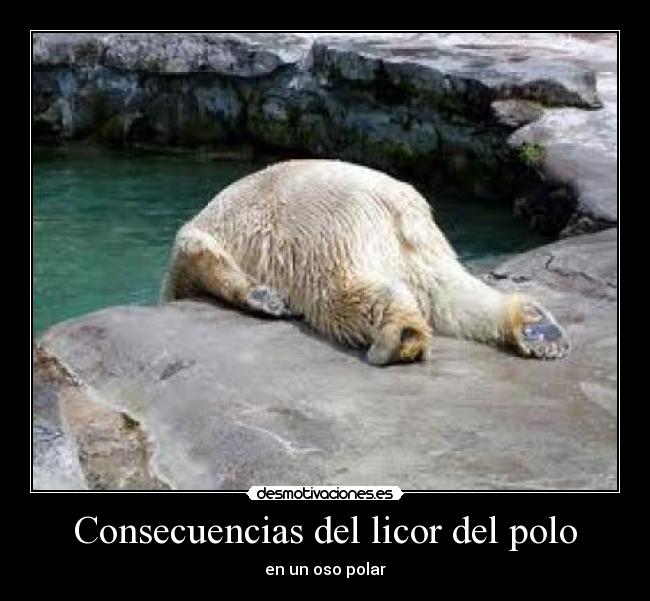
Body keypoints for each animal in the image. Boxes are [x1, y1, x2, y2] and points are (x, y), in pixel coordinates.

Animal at [161, 159, 569, 365]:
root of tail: (396, 205)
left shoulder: (193, 245)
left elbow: (196, 257)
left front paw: (264, 298)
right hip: (424, 246)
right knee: (450, 293)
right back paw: (538, 328)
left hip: (320, 233)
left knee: (336, 293)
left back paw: (401, 337)